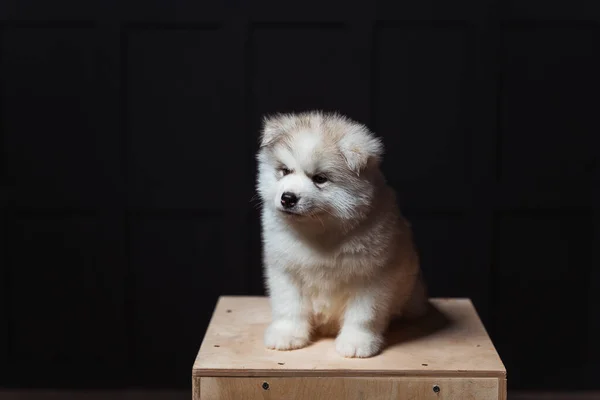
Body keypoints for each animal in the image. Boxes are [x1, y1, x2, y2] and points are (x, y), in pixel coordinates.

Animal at [254, 111, 426, 358]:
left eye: (319, 179)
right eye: (284, 171)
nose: (287, 198)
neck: (319, 230)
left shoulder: (373, 276)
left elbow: (363, 315)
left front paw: (357, 342)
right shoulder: (285, 270)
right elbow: (289, 306)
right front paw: (287, 335)